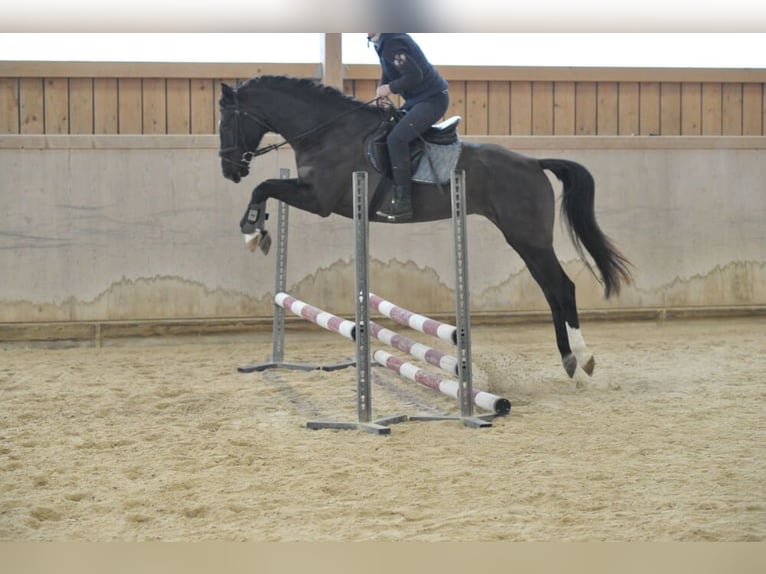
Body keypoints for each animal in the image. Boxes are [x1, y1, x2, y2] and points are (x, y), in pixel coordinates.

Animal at [218, 75, 633, 379]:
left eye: (226, 122)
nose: (229, 170)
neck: (326, 131)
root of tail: (534, 163)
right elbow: (266, 188)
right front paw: (259, 230)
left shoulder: (319, 199)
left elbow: (264, 186)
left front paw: (252, 231)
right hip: (524, 241)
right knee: (551, 291)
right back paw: (568, 360)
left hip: (530, 239)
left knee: (562, 288)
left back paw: (583, 358)